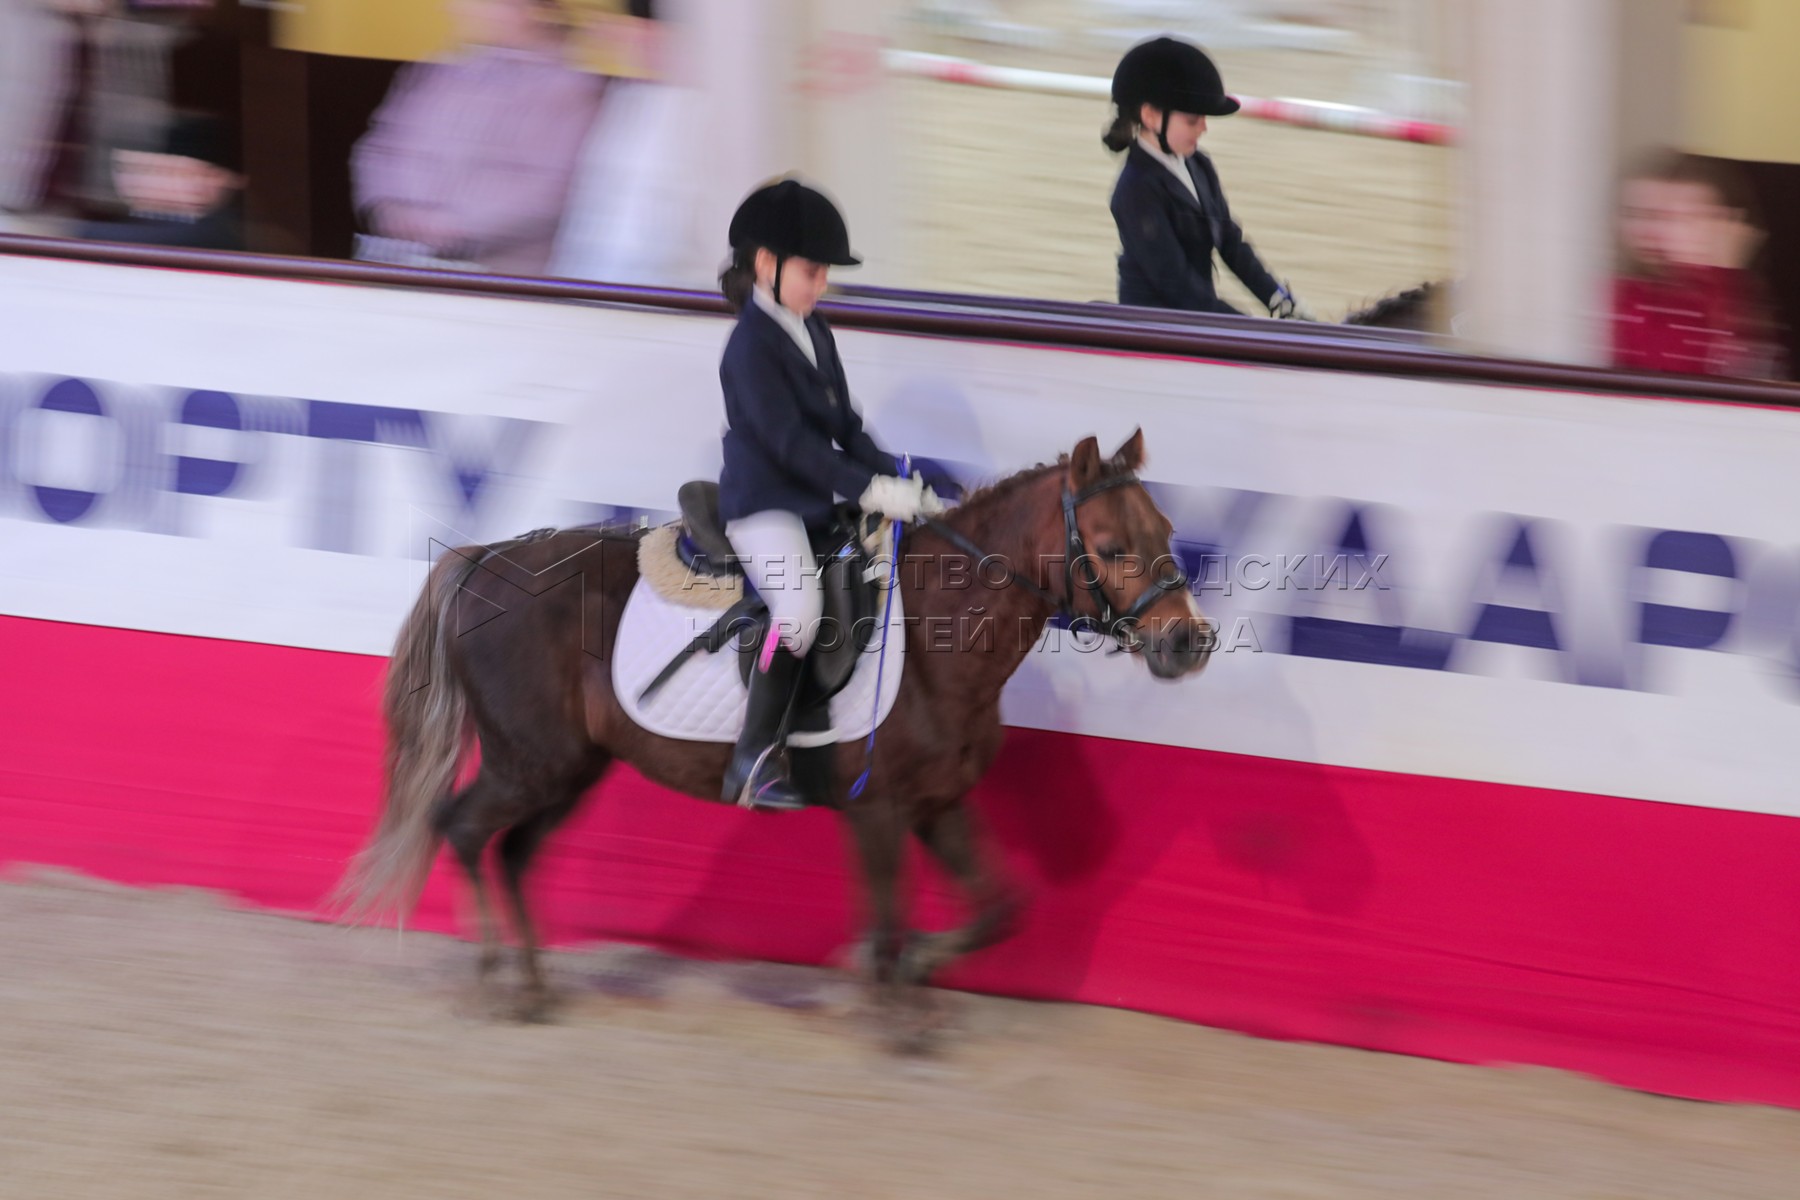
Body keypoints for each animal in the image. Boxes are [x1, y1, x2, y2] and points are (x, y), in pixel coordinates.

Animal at [340, 431, 1209, 1043]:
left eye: (1166, 528)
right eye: (1110, 546)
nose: (1188, 643)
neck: (938, 633)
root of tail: (489, 560)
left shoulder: (937, 804)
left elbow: (1000, 906)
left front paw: (919, 971)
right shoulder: (877, 809)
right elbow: (888, 915)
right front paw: (890, 999)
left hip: (569, 770)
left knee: (513, 852)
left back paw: (530, 981)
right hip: (530, 764)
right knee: (459, 828)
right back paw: (493, 976)